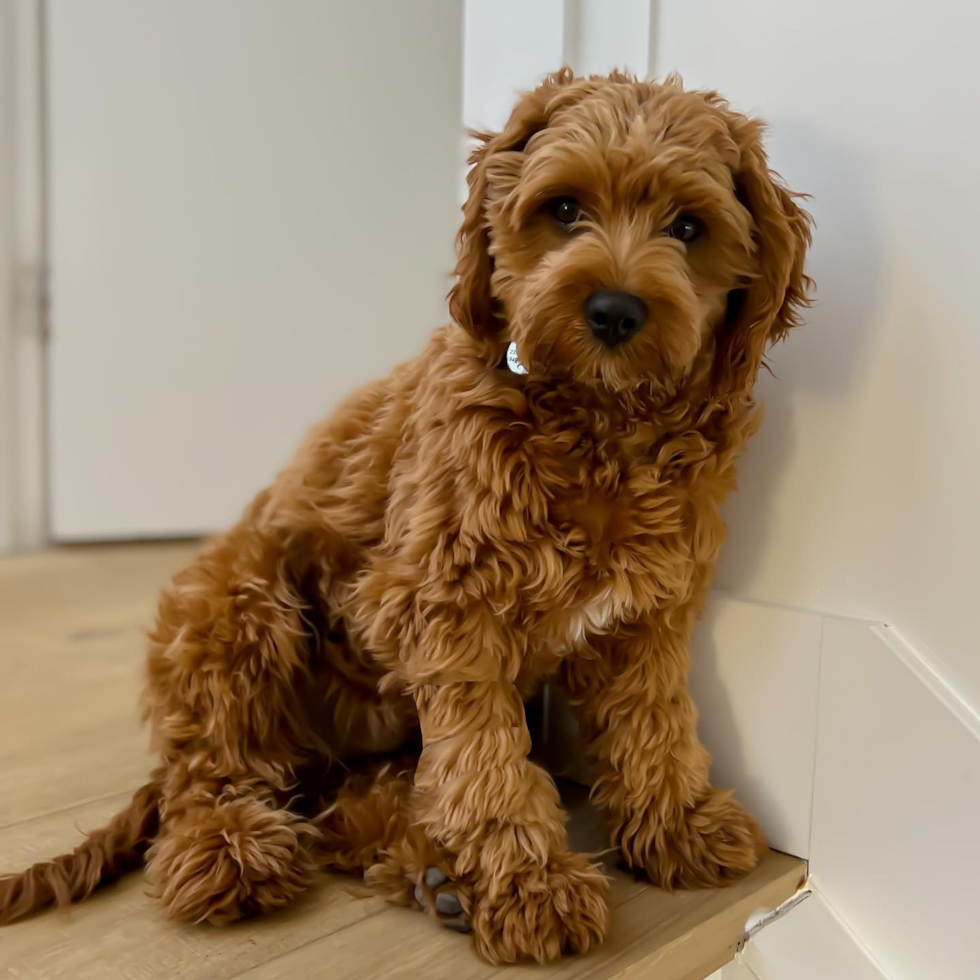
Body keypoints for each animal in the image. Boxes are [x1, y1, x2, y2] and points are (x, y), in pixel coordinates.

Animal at [0, 71, 812, 964]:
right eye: (563, 209)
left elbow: (654, 724)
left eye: (690, 227)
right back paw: (234, 851)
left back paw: (434, 870)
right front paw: (527, 885)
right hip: (238, 604)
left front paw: (677, 826)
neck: (596, 423)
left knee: (342, 805)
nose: (614, 310)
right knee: (212, 772)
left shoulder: (647, 614)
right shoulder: (448, 605)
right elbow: (484, 762)